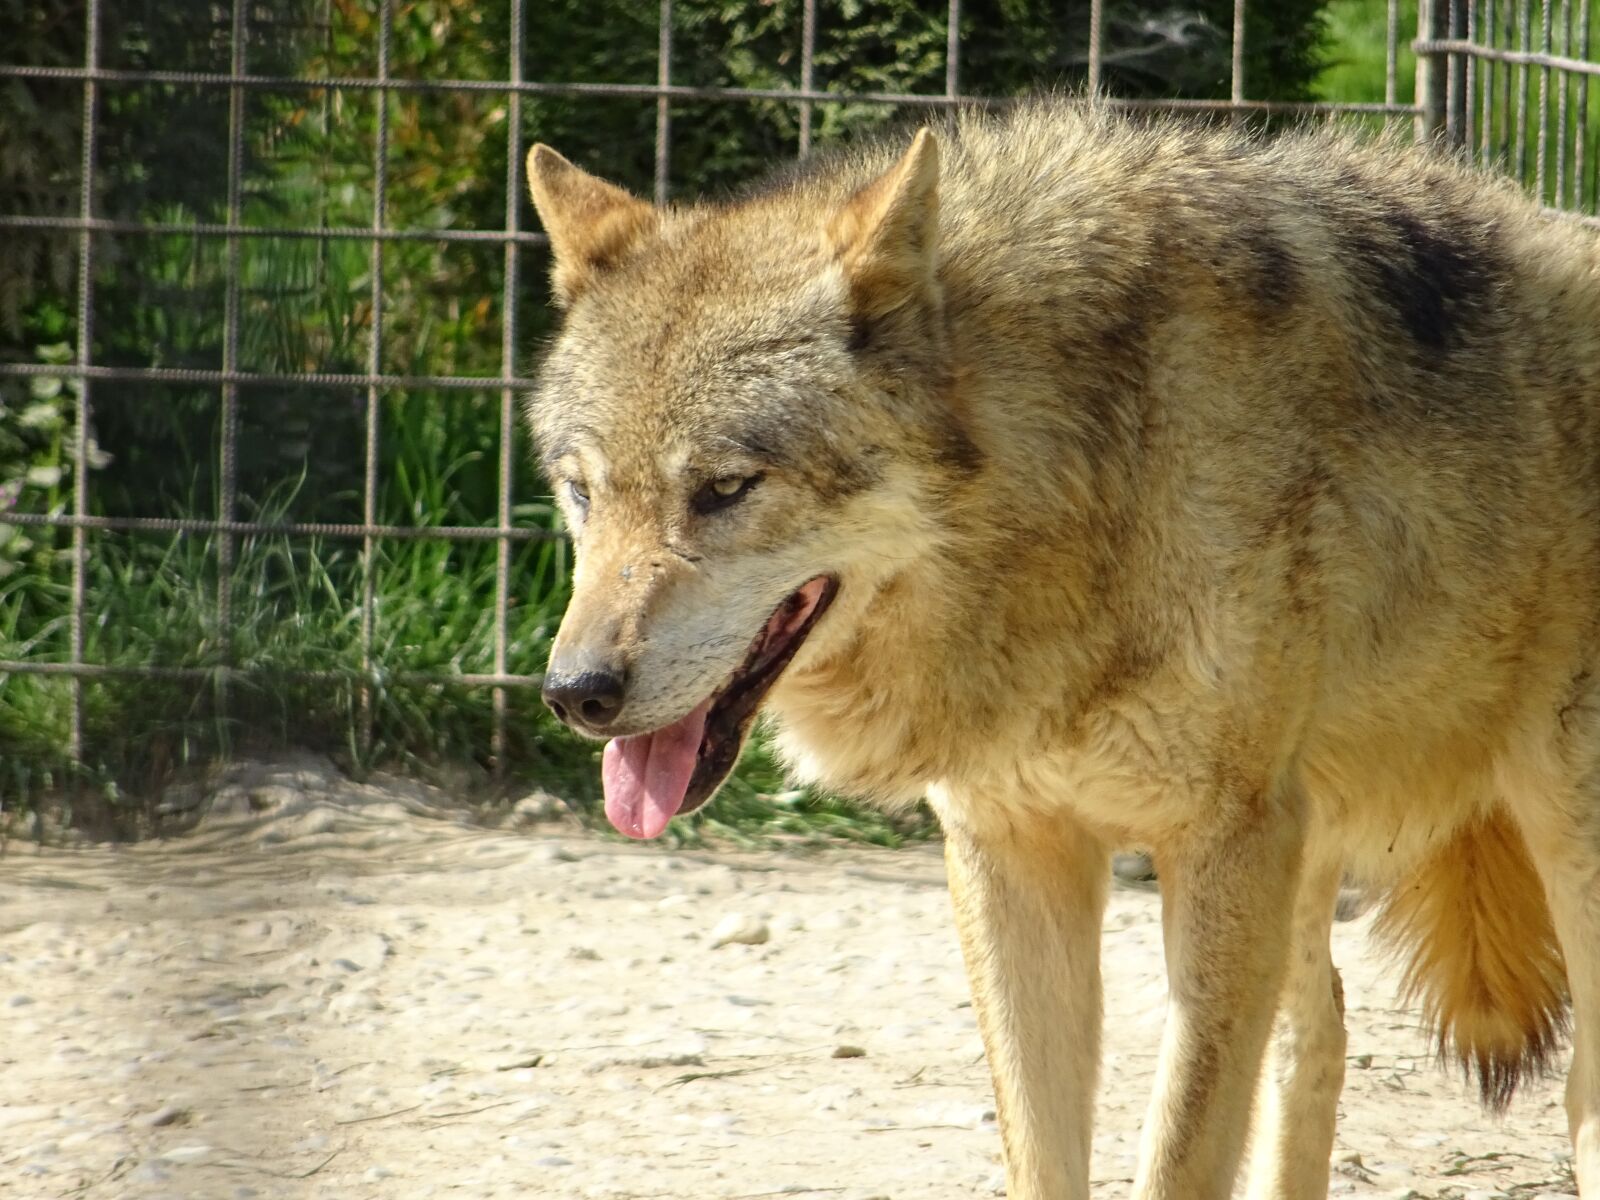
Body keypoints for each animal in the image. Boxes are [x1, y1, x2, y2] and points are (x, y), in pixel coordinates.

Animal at [521, 103, 1600, 1198]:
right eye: (581, 491)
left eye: (726, 488)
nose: (575, 692)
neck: (1081, 479)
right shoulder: (1011, 847)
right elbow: (1042, 1153)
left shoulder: (1220, 845)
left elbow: (1176, 1158)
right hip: (1305, 859)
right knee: (1321, 1037)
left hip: (1550, 837)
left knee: (1577, 1084)